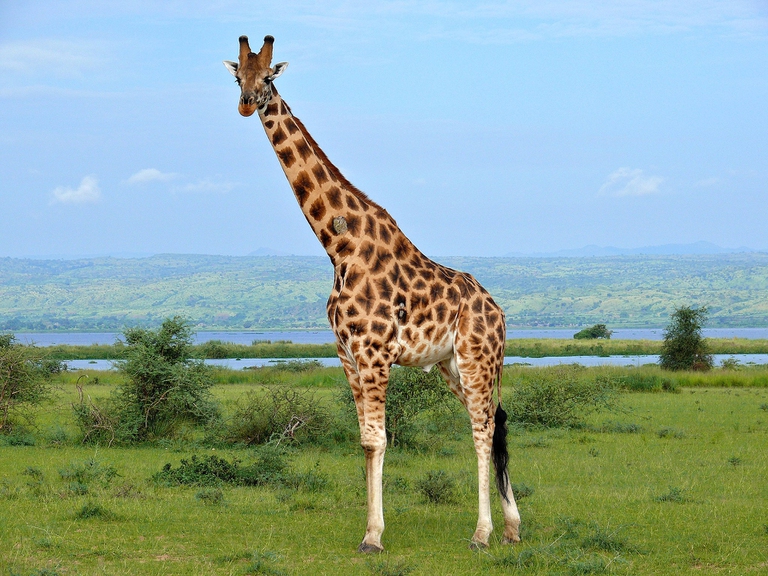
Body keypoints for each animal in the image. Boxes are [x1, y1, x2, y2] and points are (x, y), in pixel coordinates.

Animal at [224, 35, 521, 552]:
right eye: (237, 75)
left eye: (268, 77)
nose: (246, 104)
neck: (337, 245)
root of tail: (499, 312)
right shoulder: (346, 353)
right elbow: (364, 440)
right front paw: (370, 529)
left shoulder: (374, 351)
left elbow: (379, 440)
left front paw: (374, 536)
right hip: (451, 365)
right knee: (490, 421)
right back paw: (511, 527)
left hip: (477, 357)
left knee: (483, 429)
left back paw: (482, 533)